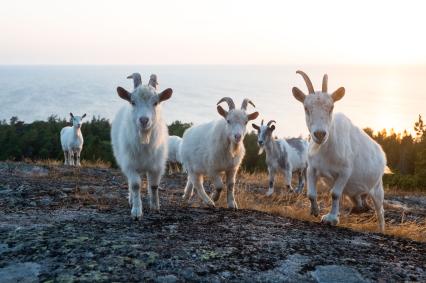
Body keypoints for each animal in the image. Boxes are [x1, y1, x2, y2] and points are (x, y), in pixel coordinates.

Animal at [113, 72, 175, 220]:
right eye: (133, 102)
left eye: (156, 102)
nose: (143, 120)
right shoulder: (130, 164)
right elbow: (135, 185)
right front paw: (136, 211)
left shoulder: (157, 165)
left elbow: (154, 186)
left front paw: (155, 206)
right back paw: (131, 200)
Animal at [292, 71, 386, 233]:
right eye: (306, 108)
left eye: (331, 107)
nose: (320, 134)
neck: (326, 149)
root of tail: (381, 154)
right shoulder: (312, 169)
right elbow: (311, 194)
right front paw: (315, 211)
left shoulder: (344, 172)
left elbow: (335, 194)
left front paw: (331, 219)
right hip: (356, 190)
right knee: (359, 200)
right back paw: (359, 209)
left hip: (377, 187)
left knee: (380, 211)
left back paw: (381, 230)